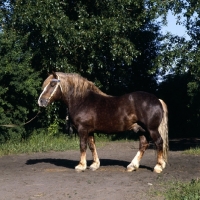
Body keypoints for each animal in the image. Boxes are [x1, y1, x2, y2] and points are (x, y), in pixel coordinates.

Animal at [38, 72, 168, 173]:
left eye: (52, 84)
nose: (41, 101)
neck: (81, 100)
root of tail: (157, 100)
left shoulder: (82, 129)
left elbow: (83, 146)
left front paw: (81, 166)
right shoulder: (89, 131)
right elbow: (92, 146)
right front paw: (94, 165)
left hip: (152, 129)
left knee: (159, 142)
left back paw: (158, 167)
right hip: (141, 130)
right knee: (143, 145)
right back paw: (132, 166)